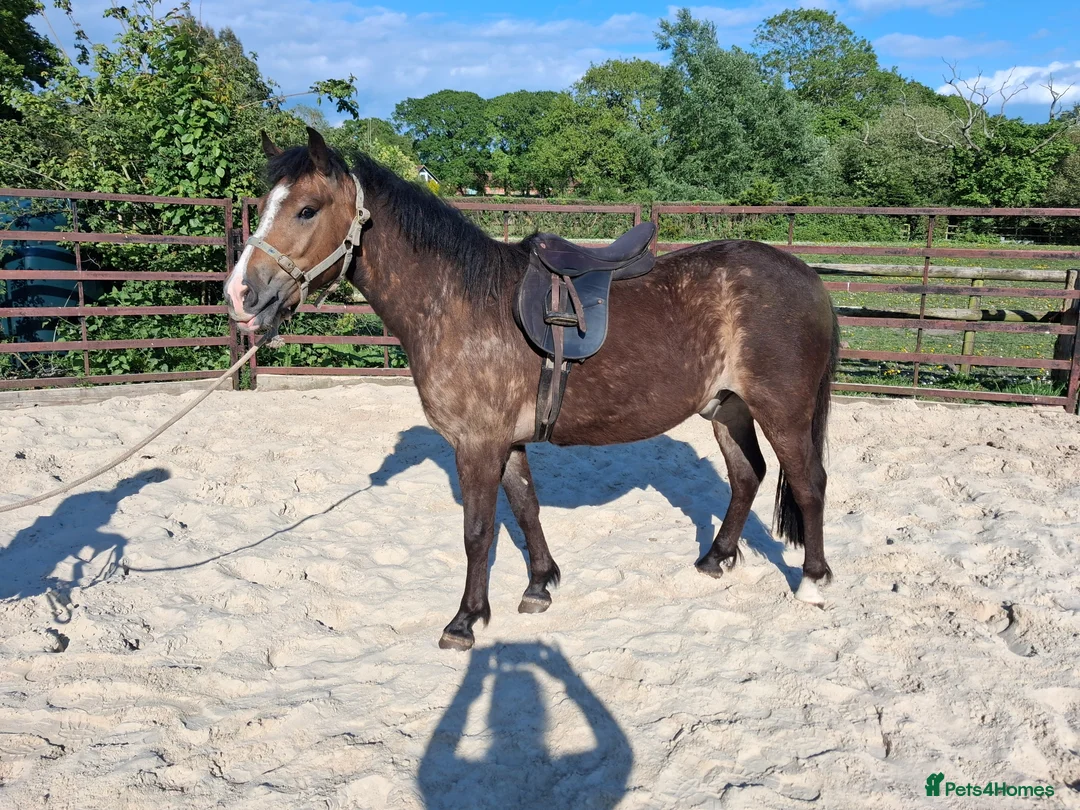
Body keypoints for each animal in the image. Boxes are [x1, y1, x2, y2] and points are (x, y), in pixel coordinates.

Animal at [224, 127, 840, 651]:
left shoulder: (476, 444)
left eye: (306, 209)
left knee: (809, 483)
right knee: (746, 475)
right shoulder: (507, 440)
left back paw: (812, 581)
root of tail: (807, 276)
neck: (459, 303)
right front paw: (540, 585)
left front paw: (465, 620)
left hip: (782, 410)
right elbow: (525, 508)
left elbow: (478, 532)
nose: (239, 295)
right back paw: (715, 559)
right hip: (726, 408)